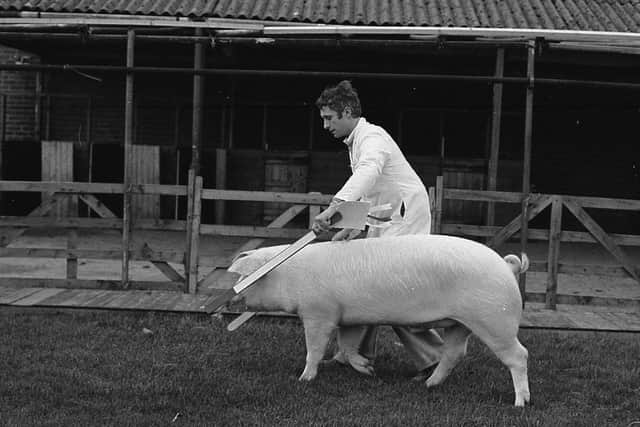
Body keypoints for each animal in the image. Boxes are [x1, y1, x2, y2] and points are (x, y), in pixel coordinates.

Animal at [228, 236, 532, 406]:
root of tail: (507, 266)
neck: (287, 274)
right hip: (461, 324)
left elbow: (314, 348)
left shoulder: (319, 312)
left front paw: (304, 379)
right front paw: (367, 370)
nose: (231, 296)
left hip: (494, 319)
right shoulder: (346, 317)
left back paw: (520, 403)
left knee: (519, 355)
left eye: (243, 276)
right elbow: (348, 345)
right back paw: (426, 384)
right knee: (454, 353)